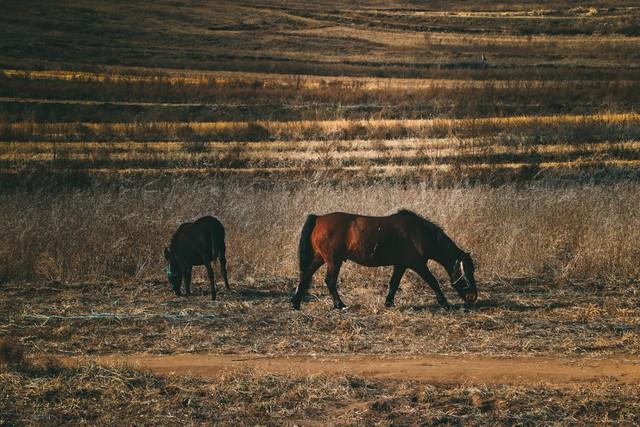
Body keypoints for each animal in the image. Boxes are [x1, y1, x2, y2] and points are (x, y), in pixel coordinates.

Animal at [292, 211, 478, 310]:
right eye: (467, 271)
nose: (473, 297)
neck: (418, 233)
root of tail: (318, 218)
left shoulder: (401, 265)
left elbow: (394, 284)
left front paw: (388, 303)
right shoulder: (418, 265)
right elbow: (433, 282)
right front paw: (445, 304)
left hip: (320, 258)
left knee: (305, 275)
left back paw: (296, 303)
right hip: (333, 261)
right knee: (330, 281)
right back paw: (340, 305)